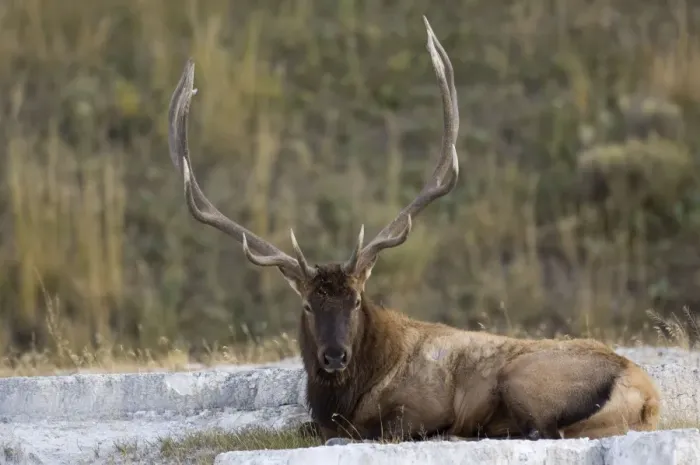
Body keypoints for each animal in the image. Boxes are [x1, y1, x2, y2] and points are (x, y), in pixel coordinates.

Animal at [166, 16, 661, 444]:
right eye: (308, 305)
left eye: (356, 300)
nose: (334, 356)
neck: (345, 397)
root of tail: (648, 399)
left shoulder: (419, 406)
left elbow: (370, 430)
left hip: (520, 375)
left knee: (540, 429)